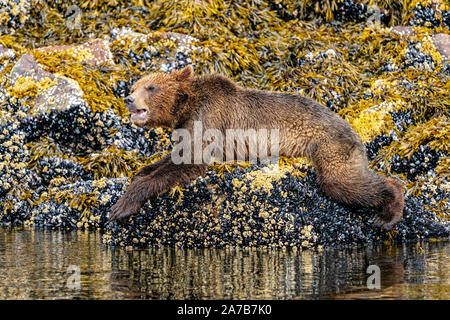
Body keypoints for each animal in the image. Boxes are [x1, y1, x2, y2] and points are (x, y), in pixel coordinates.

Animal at [109, 65, 404, 230]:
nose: (128, 99)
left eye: (151, 87)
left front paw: (121, 206)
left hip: (328, 145)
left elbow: (192, 161)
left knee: (343, 182)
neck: (185, 108)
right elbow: (172, 158)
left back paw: (388, 213)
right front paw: (141, 171)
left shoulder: (210, 119)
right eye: (134, 85)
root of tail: (354, 131)